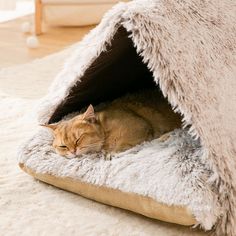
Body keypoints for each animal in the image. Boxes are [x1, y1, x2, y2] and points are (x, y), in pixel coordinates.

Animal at [42, 89, 181, 159]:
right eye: (63, 146)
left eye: (78, 139)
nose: (73, 152)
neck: (105, 127)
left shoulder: (140, 127)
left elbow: (123, 145)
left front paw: (113, 152)